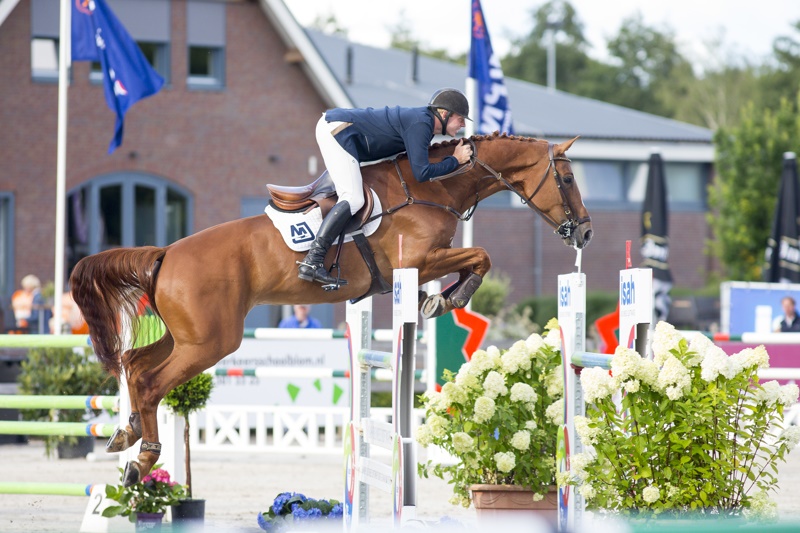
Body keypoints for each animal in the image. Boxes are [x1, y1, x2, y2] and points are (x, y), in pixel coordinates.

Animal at [69, 132, 592, 482]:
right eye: (567, 177)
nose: (584, 232)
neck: (433, 187)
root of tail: (166, 254)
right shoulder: (416, 261)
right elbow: (480, 256)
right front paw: (448, 298)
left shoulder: (420, 265)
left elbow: (473, 260)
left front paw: (439, 298)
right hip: (210, 342)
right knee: (151, 381)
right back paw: (142, 458)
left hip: (188, 337)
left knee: (135, 364)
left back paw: (125, 434)